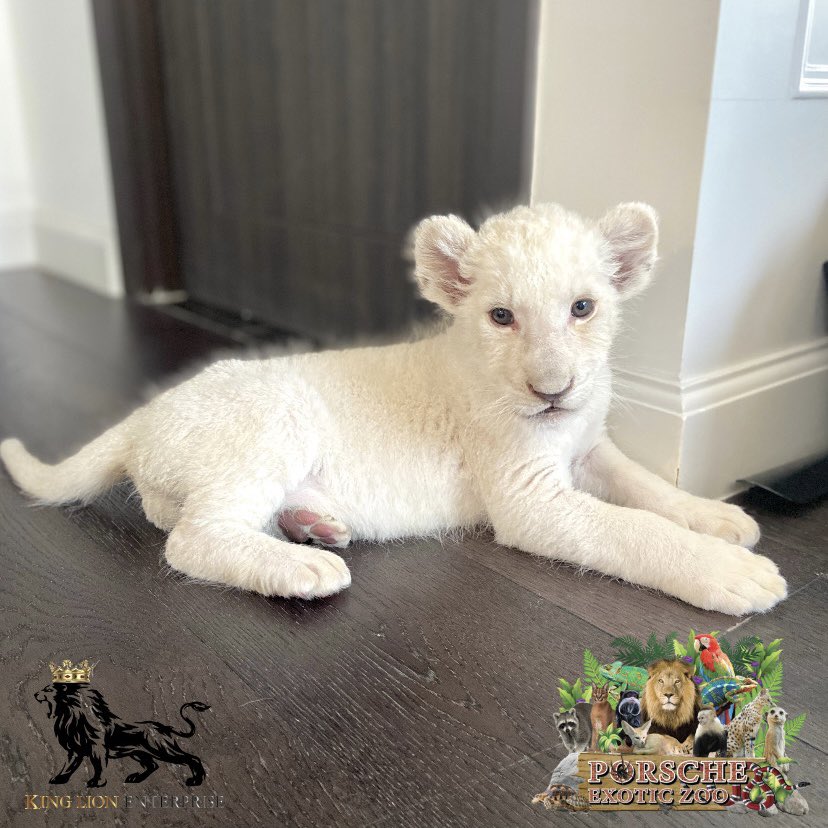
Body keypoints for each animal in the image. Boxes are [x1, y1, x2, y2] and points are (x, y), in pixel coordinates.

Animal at [35, 682, 209, 787]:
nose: (35, 694)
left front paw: (96, 782)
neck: (72, 716)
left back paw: (195, 780)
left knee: (192, 758)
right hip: (139, 753)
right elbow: (68, 767)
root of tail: (164, 727)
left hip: (161, 748)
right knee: (153, 765)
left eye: (48, 689)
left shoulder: (97, 749)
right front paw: (59, 779)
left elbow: (98, 766)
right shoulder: (75, 751)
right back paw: (135, 778)